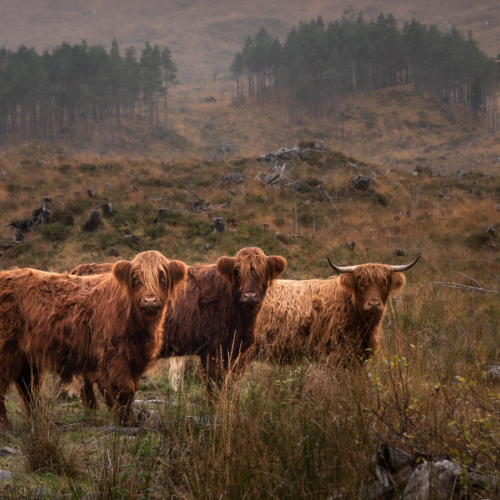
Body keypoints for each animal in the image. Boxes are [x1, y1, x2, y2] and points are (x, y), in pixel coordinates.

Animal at [0, 250, 187, 426]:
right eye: (135, 278)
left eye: (162, 277)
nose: (150, 300)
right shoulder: (114, 357)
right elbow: (124, 390)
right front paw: (127, 421)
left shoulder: (135, 359)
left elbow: (130, 390)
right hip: (7, 353)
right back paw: (6, 424)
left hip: (25, 356)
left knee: (28, 388)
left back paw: (39, 420)